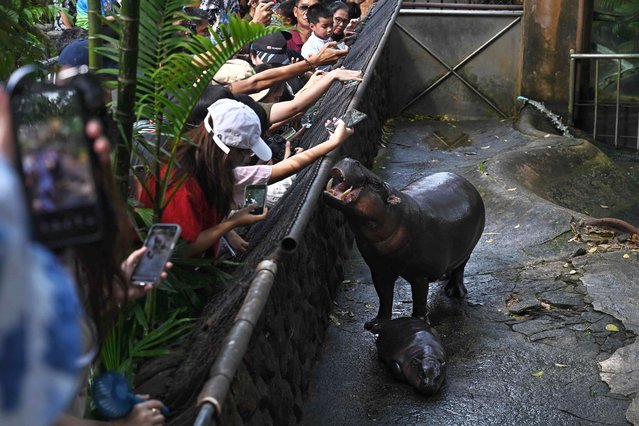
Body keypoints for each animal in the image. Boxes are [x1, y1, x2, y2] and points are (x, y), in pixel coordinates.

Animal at [324, 158, 484, 332]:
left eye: (377, 183)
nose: (350, 159)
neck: (395, 216)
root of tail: (467, 182)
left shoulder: (419, 275)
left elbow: (419, 300)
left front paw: (419, 323)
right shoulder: (379, 269)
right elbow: (384, 297)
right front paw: (375, 324)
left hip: (468, 248)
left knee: (460, 268)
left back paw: (455, 291)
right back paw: (444, 276)